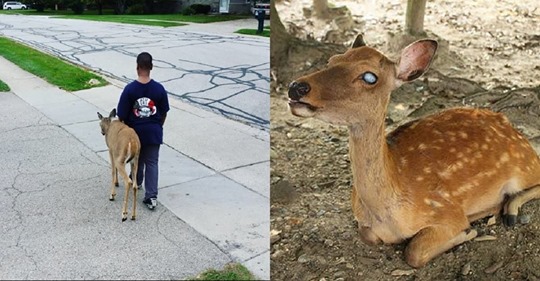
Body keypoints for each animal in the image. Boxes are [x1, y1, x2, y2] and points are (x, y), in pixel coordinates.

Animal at [288, 35, 540, 266]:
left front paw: (468, 231)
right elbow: (369, 236)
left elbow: (414, 252)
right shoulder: (363, 221)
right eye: (332, 60)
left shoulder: (446, 212)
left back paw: (507, 212)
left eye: (369, 76)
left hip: (524, 167)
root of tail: (508, 124)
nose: (297, 87)